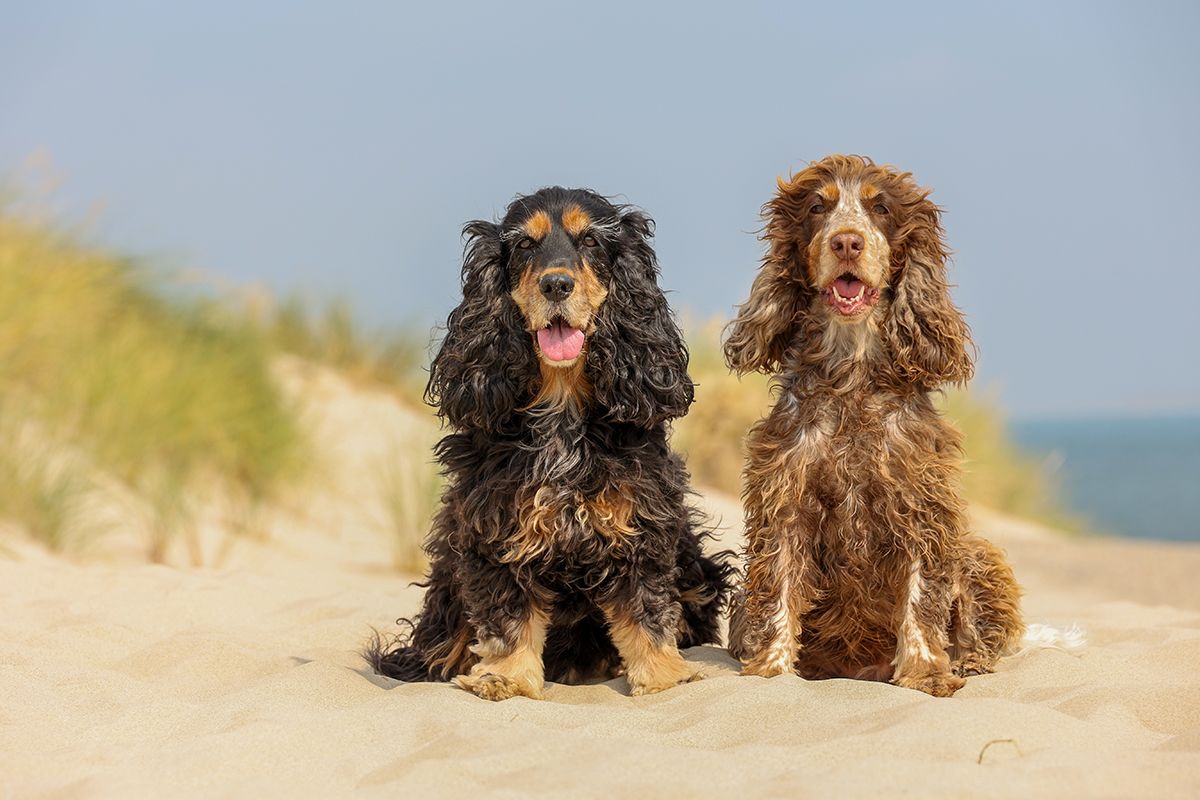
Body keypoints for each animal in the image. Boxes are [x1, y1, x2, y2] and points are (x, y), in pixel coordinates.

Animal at [367, 188, 729, 700]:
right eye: (524, 245)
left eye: (591, 240)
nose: (556, 284)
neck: (562, 404)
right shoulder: (495, 530)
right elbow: (507, 615)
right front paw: (506, 677)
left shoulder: (641, 524)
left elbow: (646, 607)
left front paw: (663, 676)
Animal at [720, 154, 1022, 695]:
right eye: (817, 207)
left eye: (880, 208)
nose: (846, 242)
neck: (852, 378)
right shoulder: (785, 502)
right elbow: (777, 591)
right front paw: (772, 669)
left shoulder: (923, 508)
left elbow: (922, 599)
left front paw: (926, 673)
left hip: (976, 552)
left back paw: (968, 662)